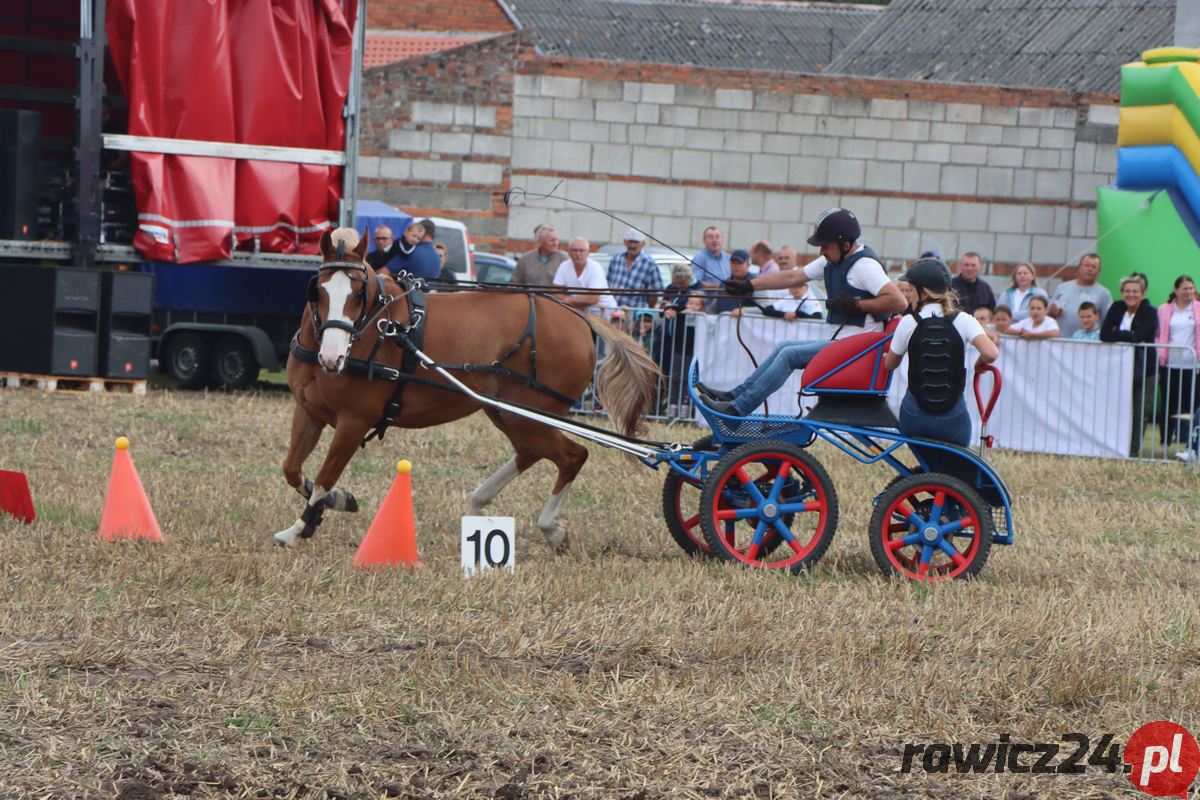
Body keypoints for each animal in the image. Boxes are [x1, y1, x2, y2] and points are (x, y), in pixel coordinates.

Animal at [273, 225, 662, 551]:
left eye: (359, 292)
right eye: (318, 290)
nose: (333, 357)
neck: (375, 328)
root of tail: (579, 317)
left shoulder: (354, 422)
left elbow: (325, 476)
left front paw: (298, 528)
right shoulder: (308, 412)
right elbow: (292, 469)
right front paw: (336, 501)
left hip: (530, 415)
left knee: (572, 456)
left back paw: (550, 527)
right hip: (506, 412)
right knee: (531, 452)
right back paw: (479, 505)